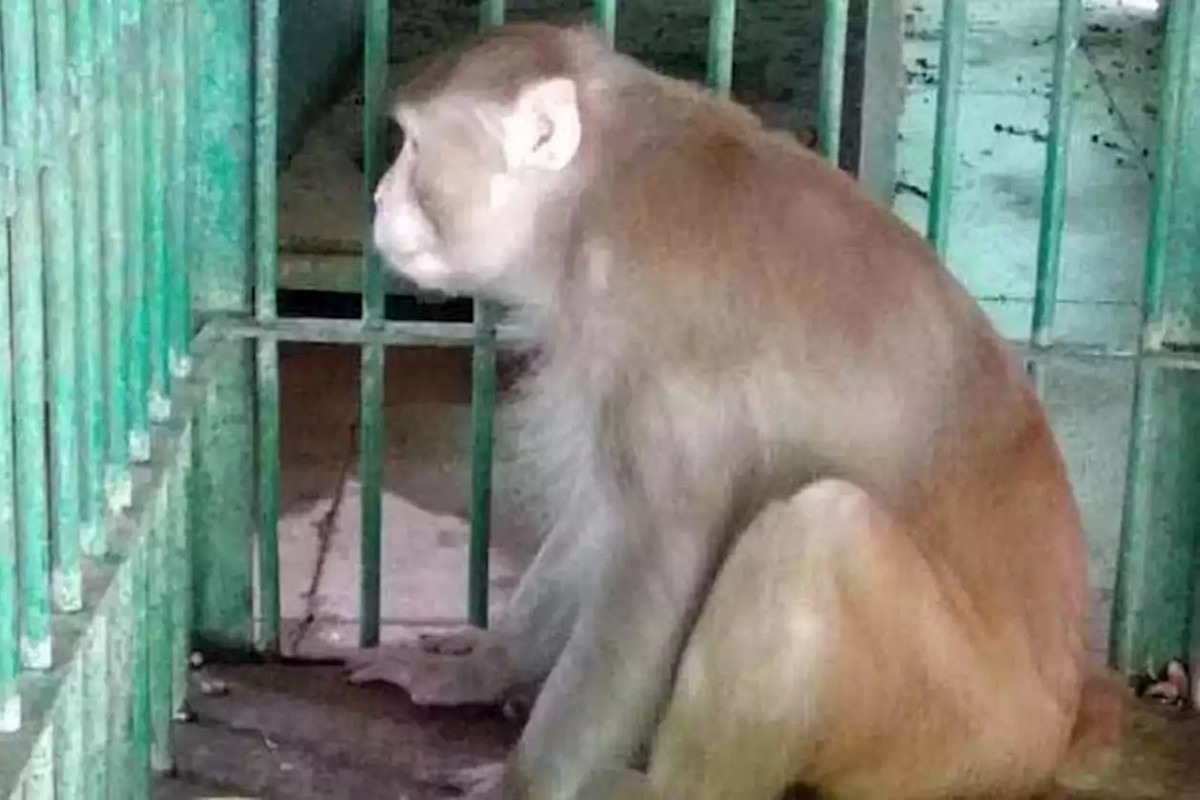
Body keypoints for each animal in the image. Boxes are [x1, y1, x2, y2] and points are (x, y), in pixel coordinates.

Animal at [346, 22, 1120, 799]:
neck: (597, 188)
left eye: (414, 147)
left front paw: (525, 783)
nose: (378, 195)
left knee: (820, 530)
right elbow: (604, 514)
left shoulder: (649, 328)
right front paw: (477, 671)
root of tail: (1055, 730)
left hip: (958, 734)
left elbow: (656, 550)